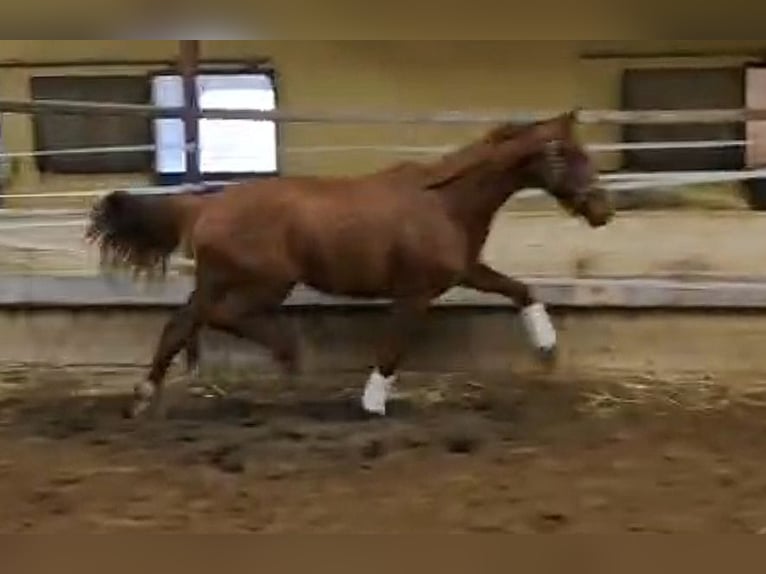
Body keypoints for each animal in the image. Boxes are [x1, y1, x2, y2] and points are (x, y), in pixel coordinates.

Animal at [86, 110, 614, 419]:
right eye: (567, 154)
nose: (602, 210)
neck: (444, 202)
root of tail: (204, 206)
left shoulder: (465, 271)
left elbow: (521, 289)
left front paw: (547, 346)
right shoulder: (415, 293)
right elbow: (394, 347)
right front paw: (373, 403)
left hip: (217, 281)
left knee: (180, 325)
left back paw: (144, 397)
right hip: (264, 283)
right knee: (221, 318)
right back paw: (291, 356)